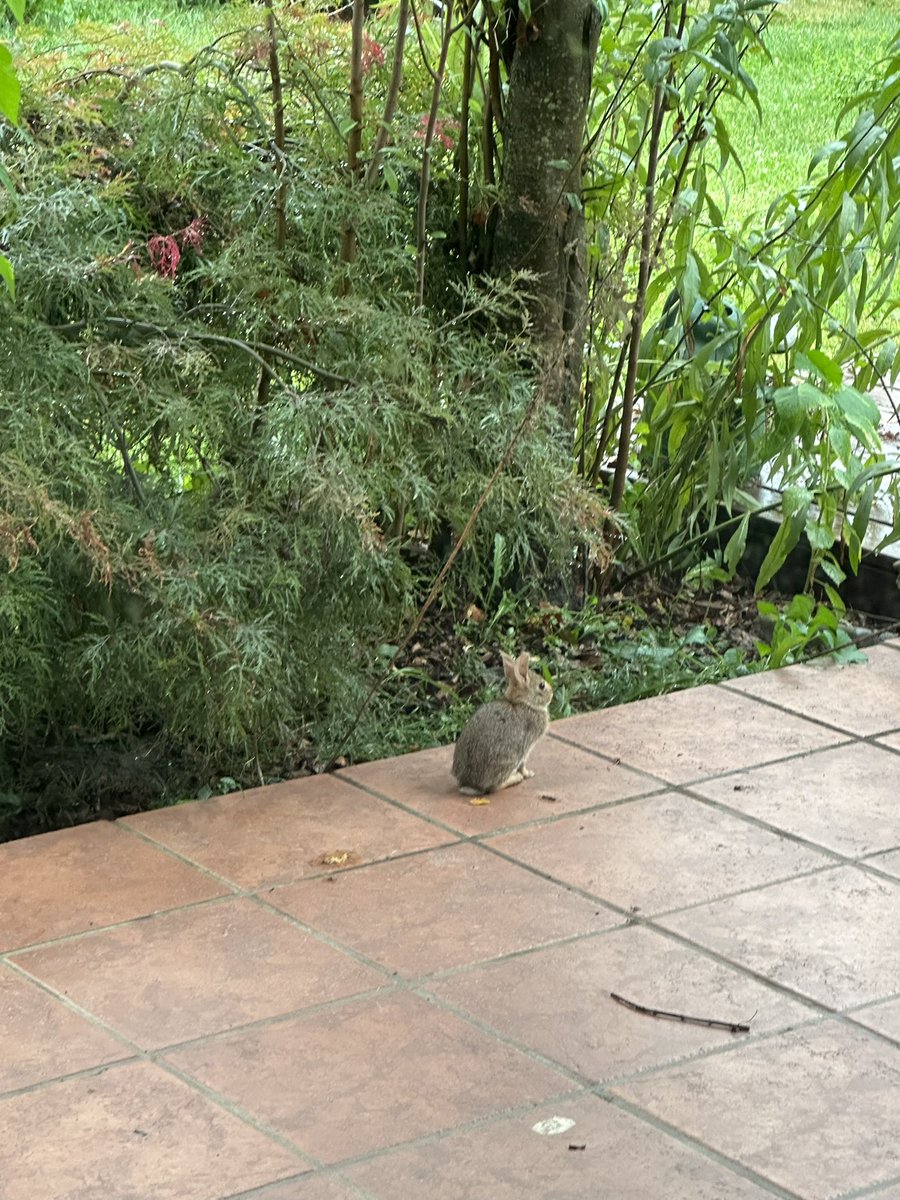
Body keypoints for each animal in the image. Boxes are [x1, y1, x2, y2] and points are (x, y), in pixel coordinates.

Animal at [452, 651, 553, 795]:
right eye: (542, 686)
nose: (552, 692)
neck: (524, 703)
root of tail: (471, 784)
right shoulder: (526, 748)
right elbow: (523, 765)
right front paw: (528, 774)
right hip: (509, 759)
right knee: (494, 787)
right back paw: (515, 778)